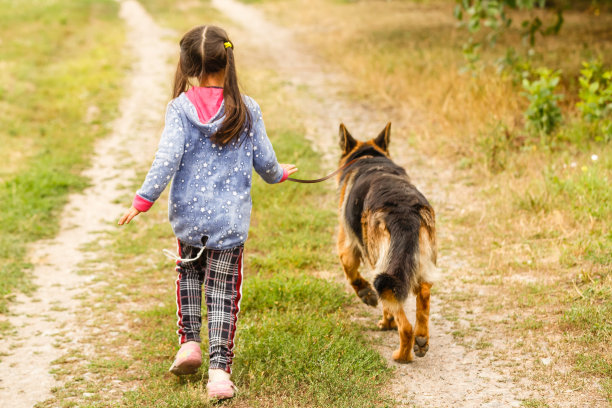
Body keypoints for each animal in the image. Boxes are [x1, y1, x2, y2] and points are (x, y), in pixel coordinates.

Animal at [334, 122, 436, 362]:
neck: (370, 157)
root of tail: (404, 209)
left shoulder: (347, 246)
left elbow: (351, 273)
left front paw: (367, 296)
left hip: (383, 269)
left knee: (404, 323)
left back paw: (401, 354)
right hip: (419, 266)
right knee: (423, 294)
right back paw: (421, 339)